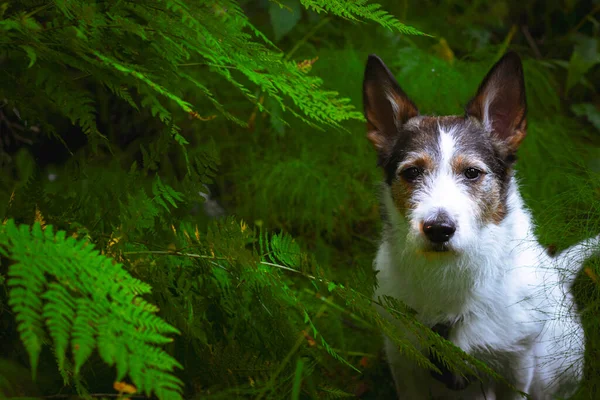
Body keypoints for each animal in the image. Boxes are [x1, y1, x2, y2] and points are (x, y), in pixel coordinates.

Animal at [364, 51, 596, 398]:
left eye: (472, 173)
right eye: (412, 172)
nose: (439, 229)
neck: (449, 278)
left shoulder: (517, 364)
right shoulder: (403, 360)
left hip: (549, 371)